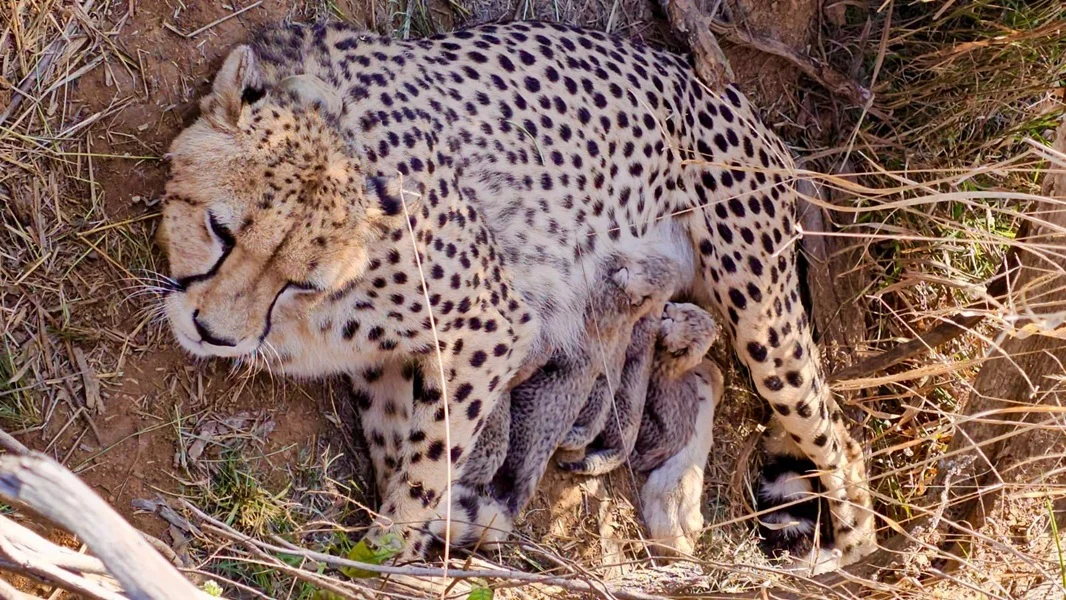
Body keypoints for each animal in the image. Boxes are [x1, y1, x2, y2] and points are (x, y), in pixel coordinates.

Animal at [159, 19, 877, 566]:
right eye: (219, 230)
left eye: (299, 280)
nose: (213, 332)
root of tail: (730, 95)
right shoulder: (387, 360)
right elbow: (399, 449)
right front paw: (449, 520)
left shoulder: (491, 324)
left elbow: (427, 463)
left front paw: (389, 555)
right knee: (707, 374)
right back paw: (674, 503)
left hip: (764, 317)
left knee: (841, 441)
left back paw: (840, 552)